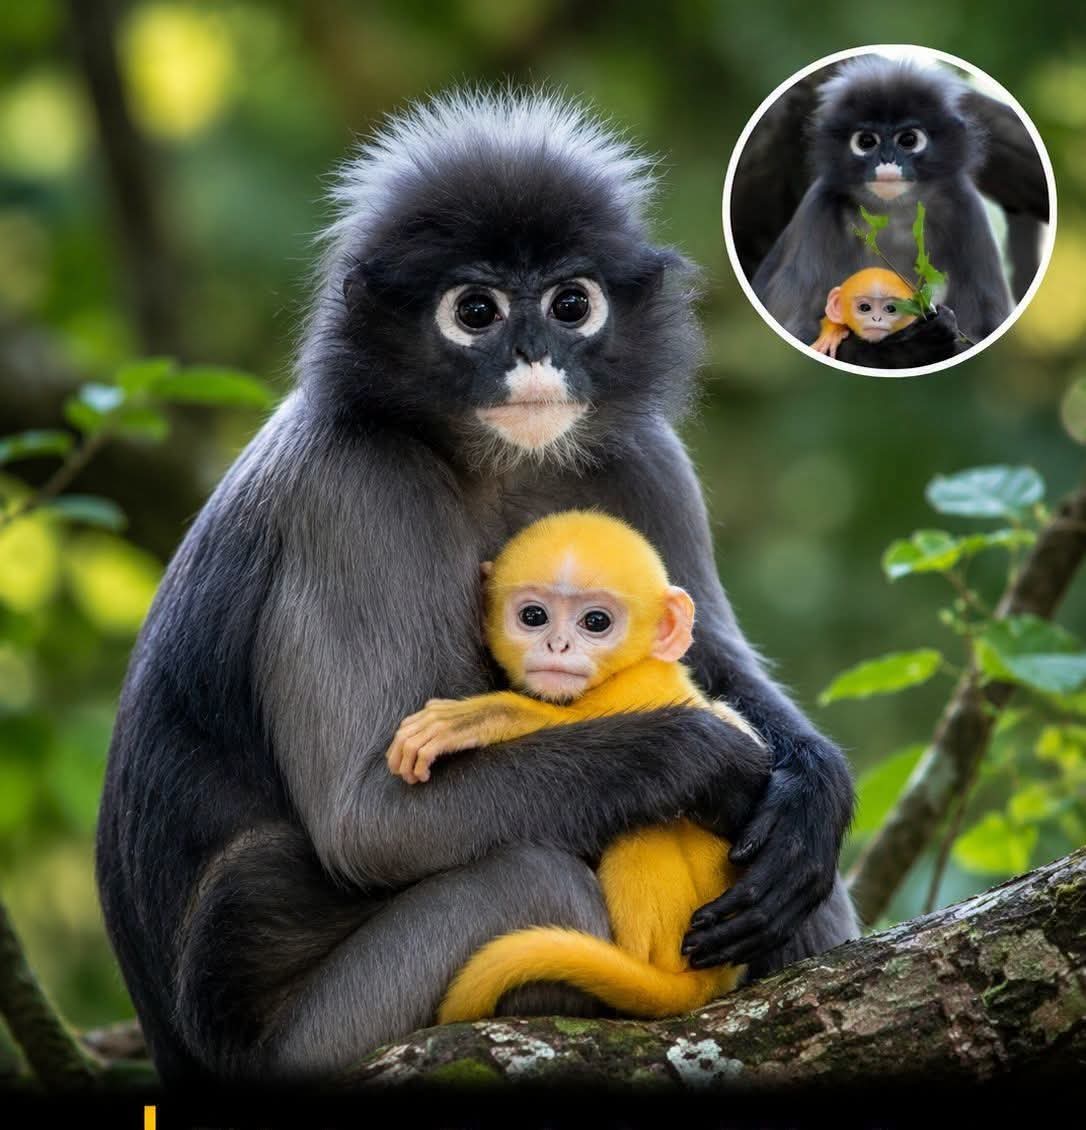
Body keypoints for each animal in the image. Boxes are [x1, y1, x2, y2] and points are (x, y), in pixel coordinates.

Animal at [96, 89, 859, 1085]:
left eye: (571, 304)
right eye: (476, 310)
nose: (533, 354)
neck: (498, 463)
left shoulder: (646, 458)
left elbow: (707, 661)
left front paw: (810, 788)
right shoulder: (358, 492)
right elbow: (368, 822)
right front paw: (717, 763)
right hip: (317, 1037)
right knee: (526, 878)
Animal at [750, 56, 1013, 357]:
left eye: (908, 140)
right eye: (866, 142)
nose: (887, 159)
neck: (894, 212)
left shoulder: (966, 208)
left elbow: (983, 327)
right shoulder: (818, 210)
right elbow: (795, 325)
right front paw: (916, 340)